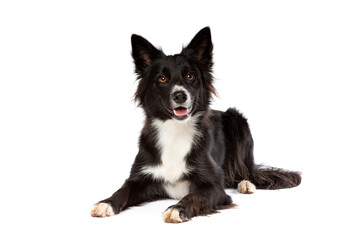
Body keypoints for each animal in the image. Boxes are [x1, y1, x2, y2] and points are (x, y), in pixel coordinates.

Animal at [90, 26, 300, 223]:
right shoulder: (140, 176)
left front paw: (177, 209)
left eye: (190, 76)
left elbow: (194, 196)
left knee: (246, 169)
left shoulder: (214, 186)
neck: (175, 130)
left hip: (238, 120)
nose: (179, 95)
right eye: (162, 79)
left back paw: (246, 183)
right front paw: (106, 203)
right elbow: (123, 190)